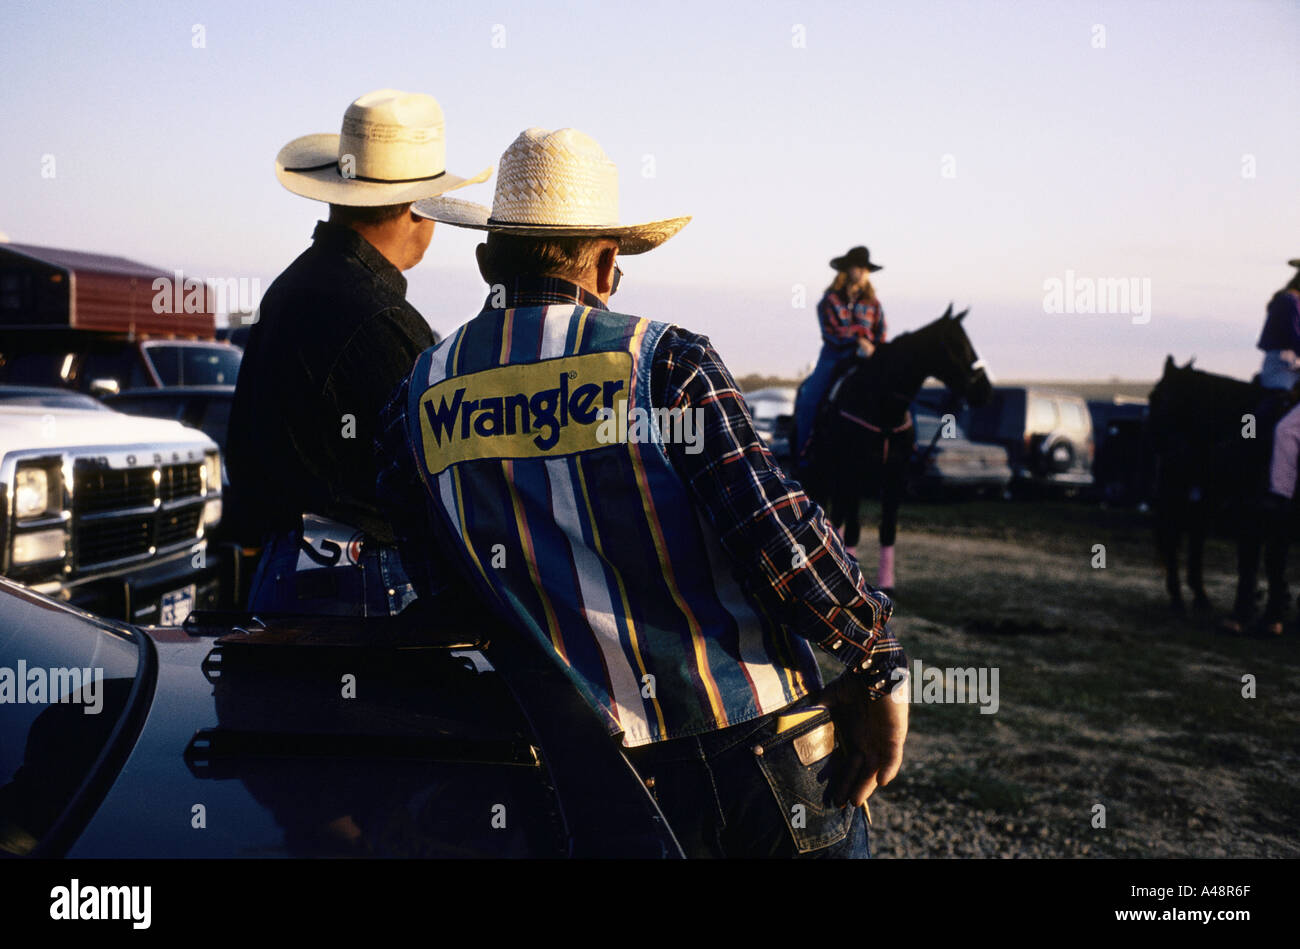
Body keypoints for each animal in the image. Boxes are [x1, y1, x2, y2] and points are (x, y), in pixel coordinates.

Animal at [790, 305, 993, 592]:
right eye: (955, 345)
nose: (985, 390)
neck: (882, 406)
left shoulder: (895, 477)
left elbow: (888, 530)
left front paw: (886, 585)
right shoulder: (855, 476)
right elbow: (854, 528)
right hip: (821, 472)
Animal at [1149, 353, 1289, 629]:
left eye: (1156, 395)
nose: (1149, 439)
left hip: (1202, 501)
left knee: (1195, 537)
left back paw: (1200, 597)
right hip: (1178, 497)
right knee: (1174, 539)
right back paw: (1180, 598)